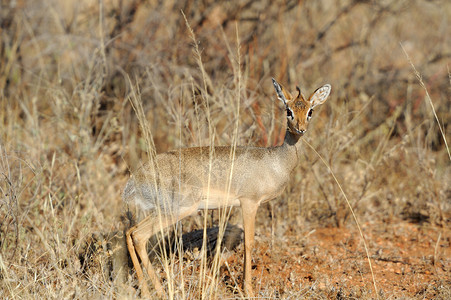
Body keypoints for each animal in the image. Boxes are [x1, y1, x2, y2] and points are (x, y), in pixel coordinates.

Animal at [123, 78, 332, 298]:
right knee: (139, 236)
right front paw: (248, 290)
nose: (300, 129)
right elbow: (249, 243)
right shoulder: (249, 202)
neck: (275, 161)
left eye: (310, 111)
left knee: (129, 232)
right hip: (178, 209)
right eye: (288, 110)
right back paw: (159, 292)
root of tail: (133, 181)